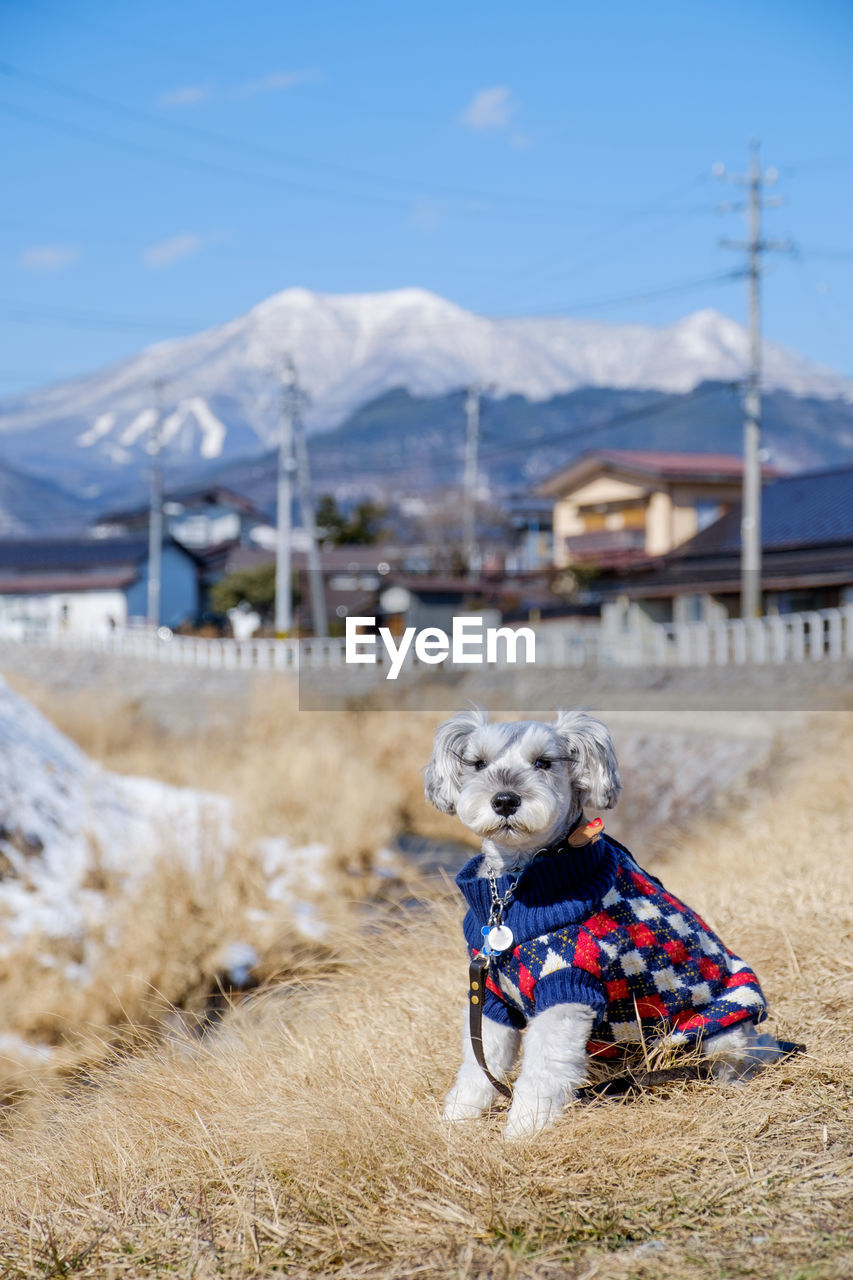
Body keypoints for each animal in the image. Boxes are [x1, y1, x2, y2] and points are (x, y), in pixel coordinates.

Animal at [425, 711, 783, 1141]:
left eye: (543, 762)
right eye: (477, 764)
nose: (505, 800)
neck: (515, 890)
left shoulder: (566, 990)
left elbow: (542, 1070)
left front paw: (524, 1132)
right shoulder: (491, 999)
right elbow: (479, 1066)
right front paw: (455, 1124)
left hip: (717, 1031)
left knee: (728, 1063)